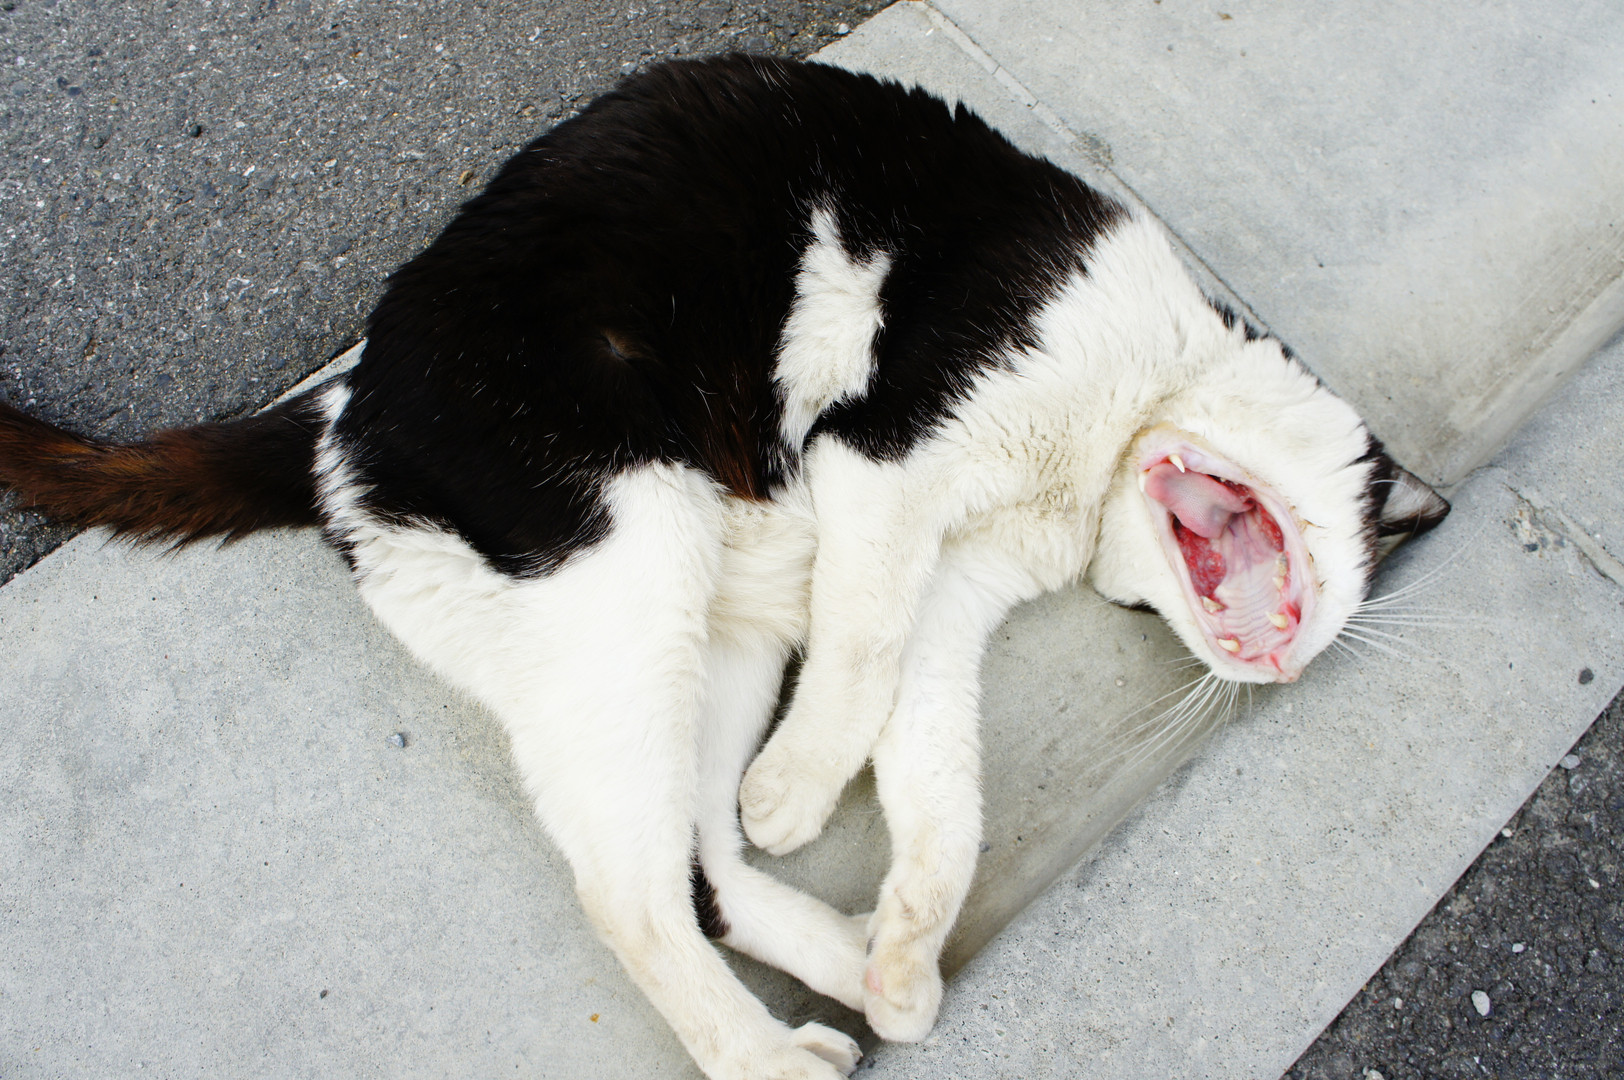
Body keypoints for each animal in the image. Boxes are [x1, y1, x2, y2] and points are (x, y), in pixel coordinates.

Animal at [0, 55, 1448, 1080]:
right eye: (1333, 598)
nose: (1275, 662)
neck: (1120, 418)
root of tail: (340, 411)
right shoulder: (889, 460)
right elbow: (863, 650)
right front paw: (802, 794)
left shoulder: (949, 595)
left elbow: (938, 787)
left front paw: (909, 944)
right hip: (630, 566)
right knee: (632, 892)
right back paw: (767, 1050)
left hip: (717, 639)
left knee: (695, 868)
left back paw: (857, 967)